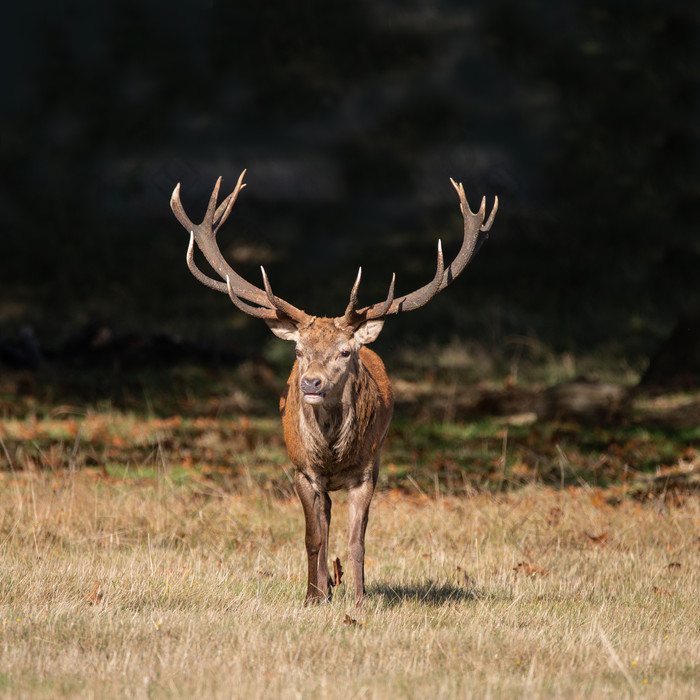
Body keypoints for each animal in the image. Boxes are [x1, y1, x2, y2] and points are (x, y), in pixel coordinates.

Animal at [170, 171, 498, 608]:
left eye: (345, 351)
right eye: (298, 350)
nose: (311, 382)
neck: (331, 452)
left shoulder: (366, 473)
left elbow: (357, 541)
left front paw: (359, 600)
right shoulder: (302, 471)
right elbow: (313, 538)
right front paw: (312, 597)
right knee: (323, 525)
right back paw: (324, 587)